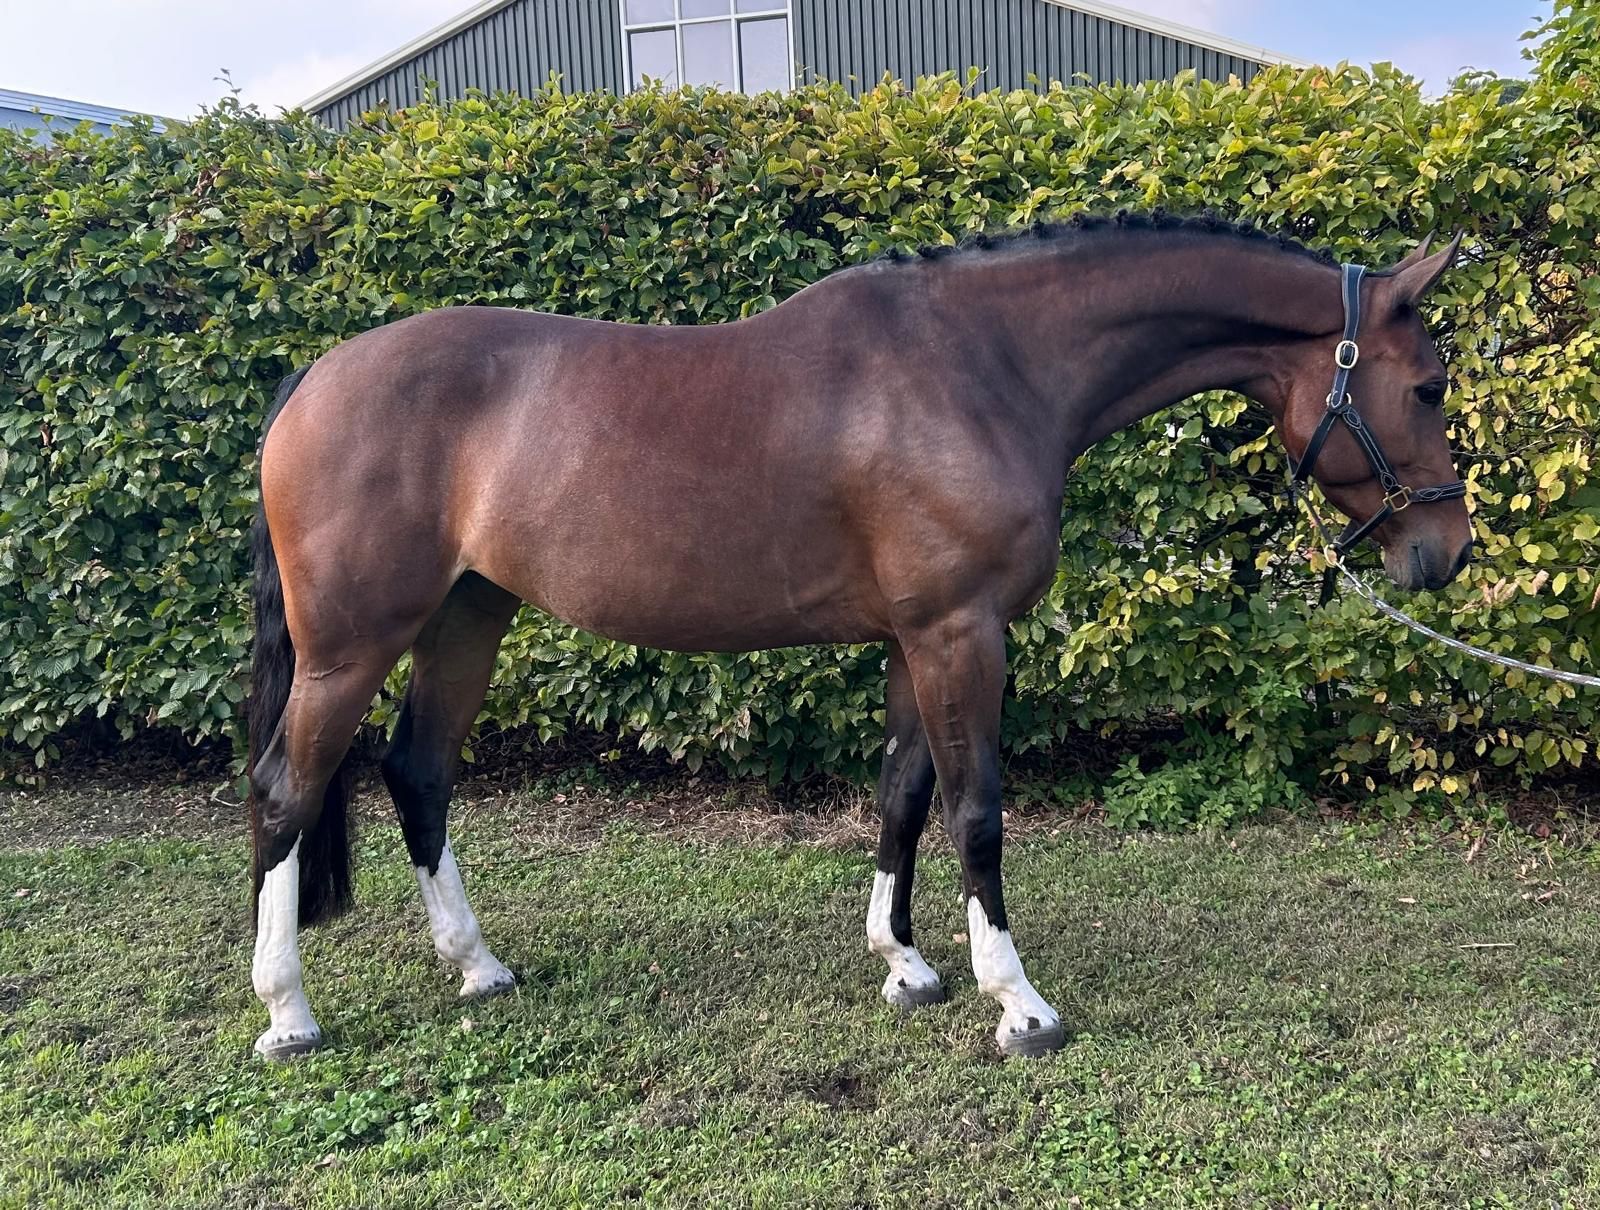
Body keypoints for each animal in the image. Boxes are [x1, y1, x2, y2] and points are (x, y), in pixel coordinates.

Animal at [247, 212, 1473, 1061]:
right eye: (1428, 385)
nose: (1444, 553)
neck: (984, 365)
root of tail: (315, 377)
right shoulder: (961, 633)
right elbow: (976, 812)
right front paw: (1017, 1004)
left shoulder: (912, 638)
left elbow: (904, 795)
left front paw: (906, 965)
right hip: (352, 645)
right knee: (285, 793)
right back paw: (289, 1015)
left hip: (468, 612)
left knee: (418, 773)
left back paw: (478, 967)